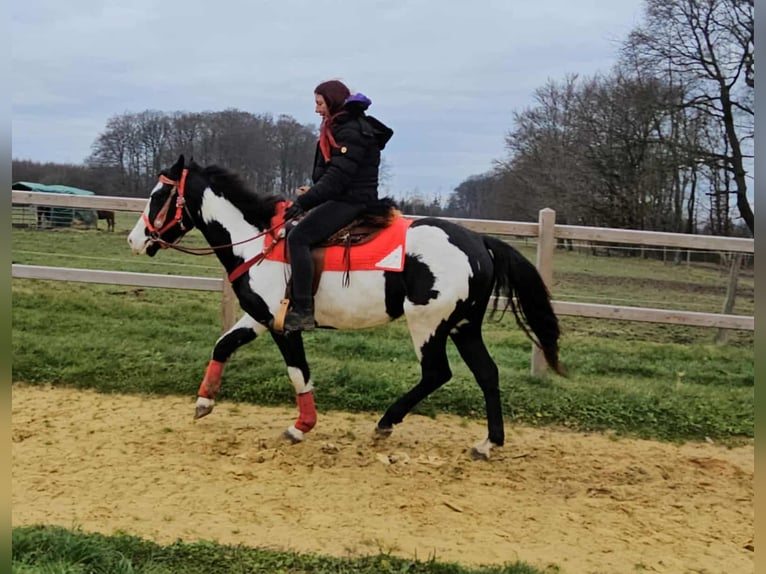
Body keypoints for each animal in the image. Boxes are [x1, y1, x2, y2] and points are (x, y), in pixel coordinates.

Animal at [127, 155, 564, 459]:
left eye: (159, 195)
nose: (135, 239)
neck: (258, 242)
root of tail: (478, 241)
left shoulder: (284, 325)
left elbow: (298, 373)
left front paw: (301, 426)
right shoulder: (260, 317)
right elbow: (223, 345)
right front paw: (204, 401)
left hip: (428, 324)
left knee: (436, 373)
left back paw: (386, 423)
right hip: (464, 326)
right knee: (487, 374)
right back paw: (488, 443)